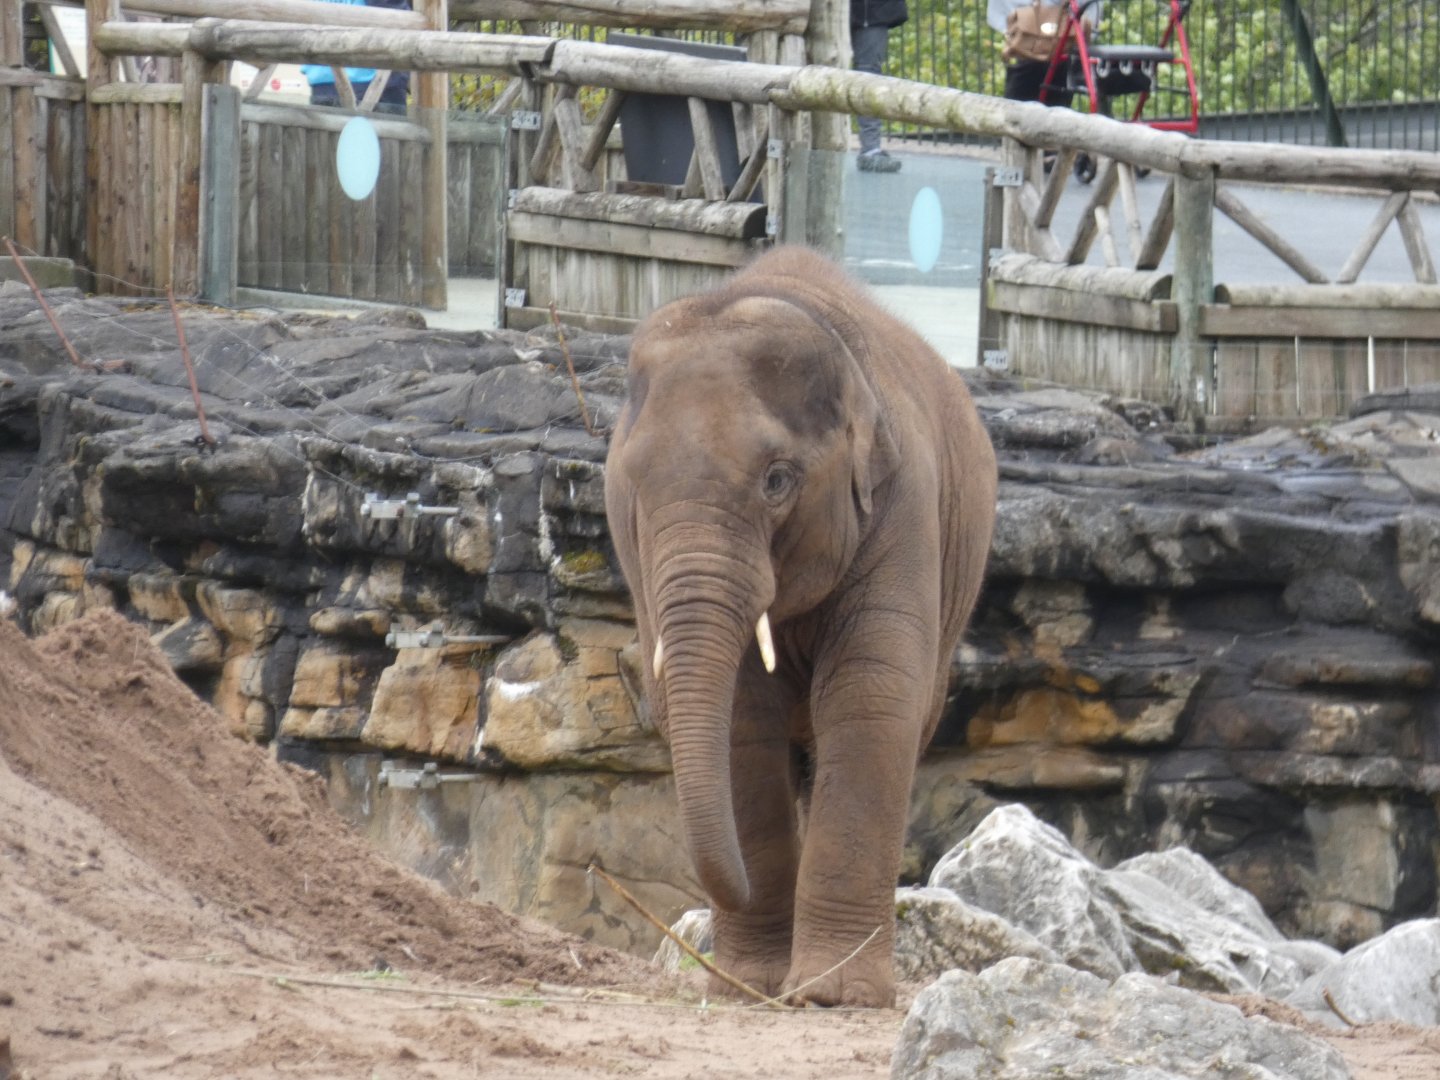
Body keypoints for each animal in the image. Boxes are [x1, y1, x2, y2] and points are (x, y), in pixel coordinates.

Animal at [603, 245, 997, 1008]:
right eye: (632, 487)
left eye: (777, 480)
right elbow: (741, 721)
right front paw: (748, 986)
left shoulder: (905, 506)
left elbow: (870, 697)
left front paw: (830, 996)